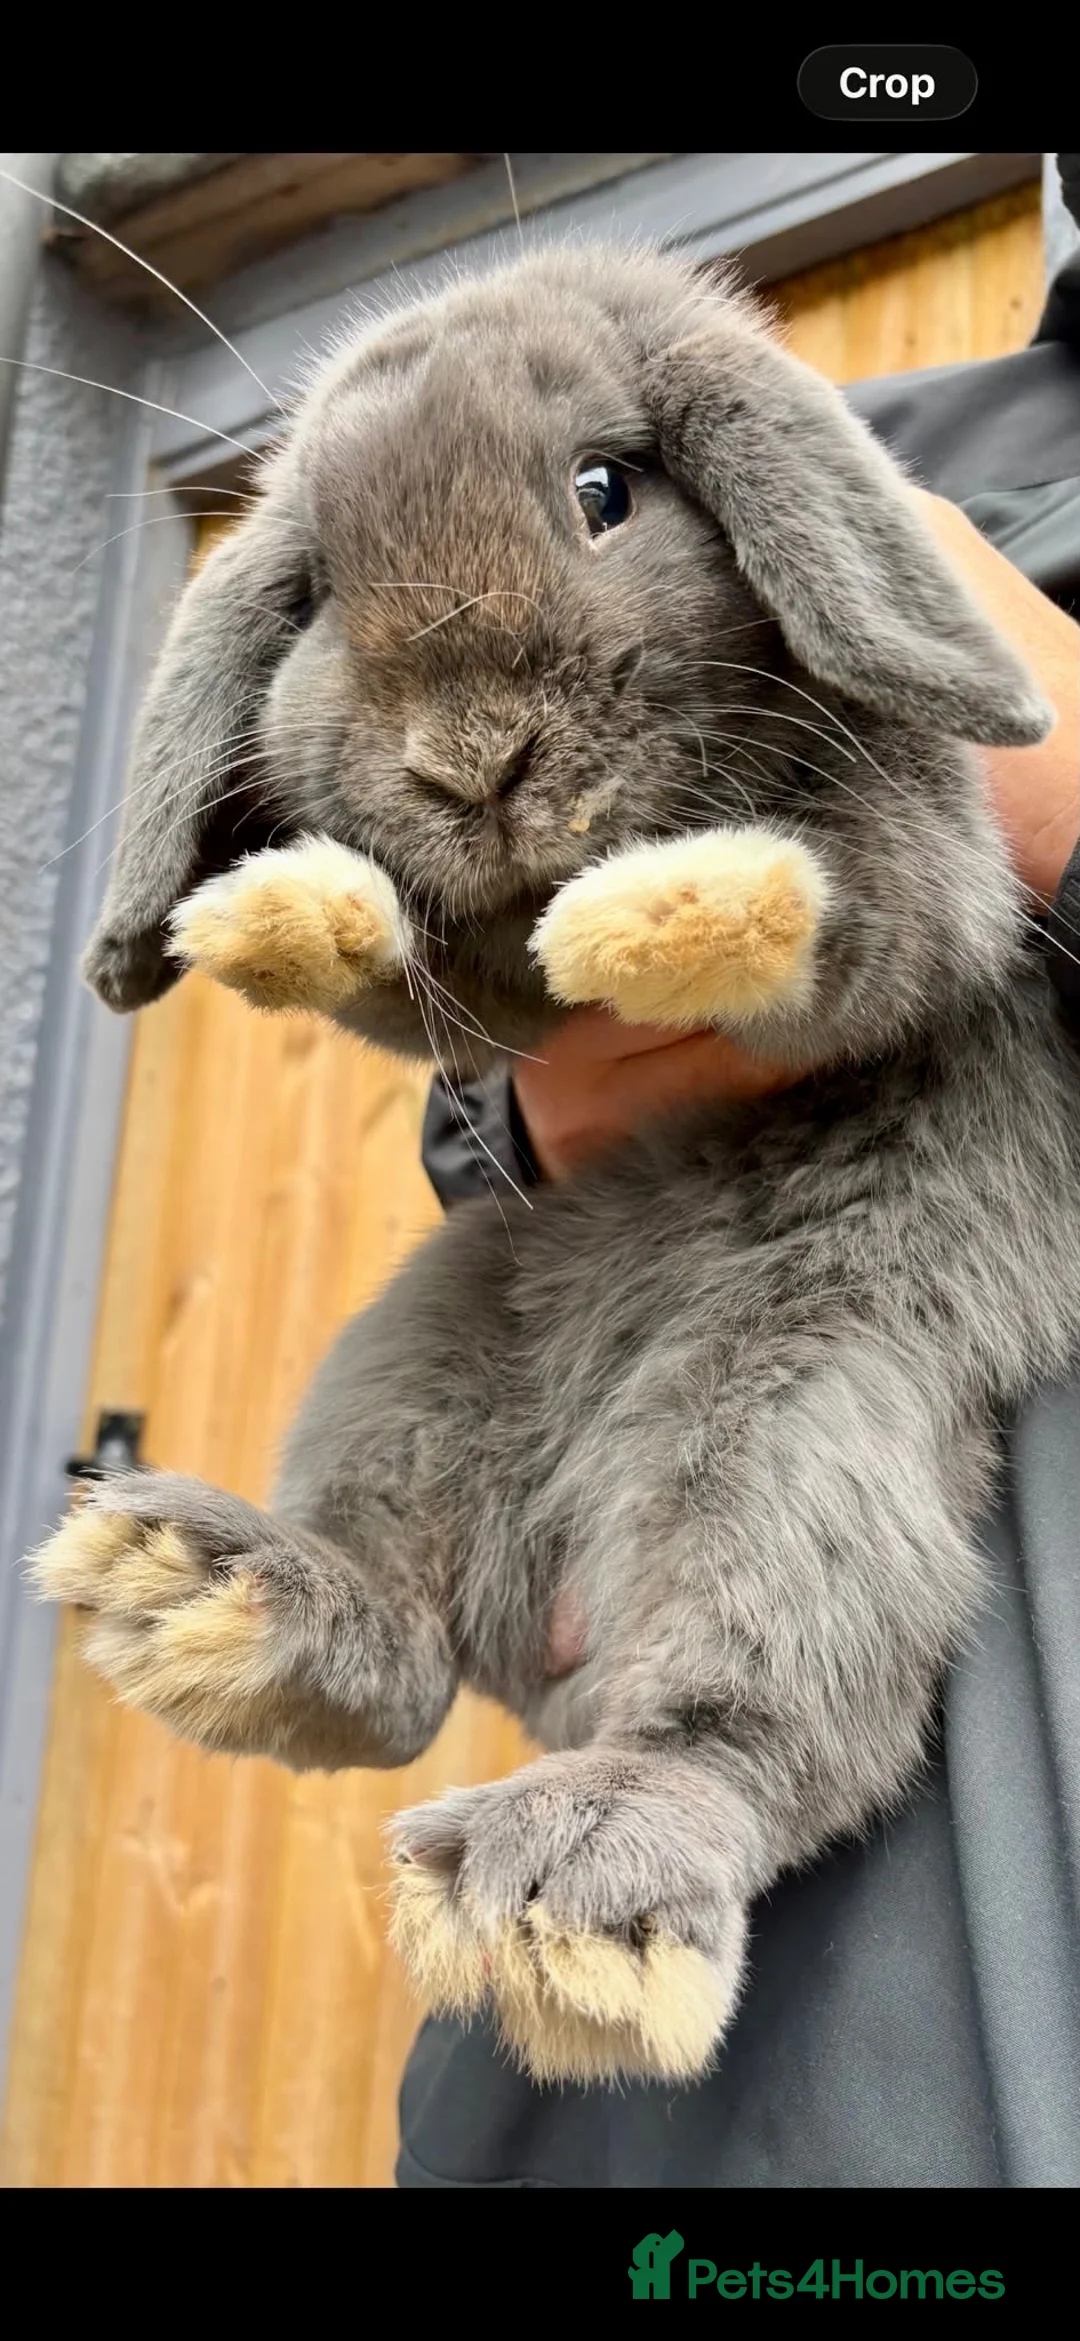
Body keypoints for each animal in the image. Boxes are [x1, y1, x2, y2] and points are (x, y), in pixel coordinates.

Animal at [31, 240, 1080, 2087]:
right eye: (312, 594)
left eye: (604, 490)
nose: (475, 760)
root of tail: (555, 1585)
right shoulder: (469, 1007)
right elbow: (412, 975)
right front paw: (284, 906)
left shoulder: (939, 867)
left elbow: (850, 910)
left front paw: (668, 904)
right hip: (419, 1353)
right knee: (390, 1647)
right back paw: (210, 1587)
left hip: (799, 1436)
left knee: (738, 1731)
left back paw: (569, 1894)